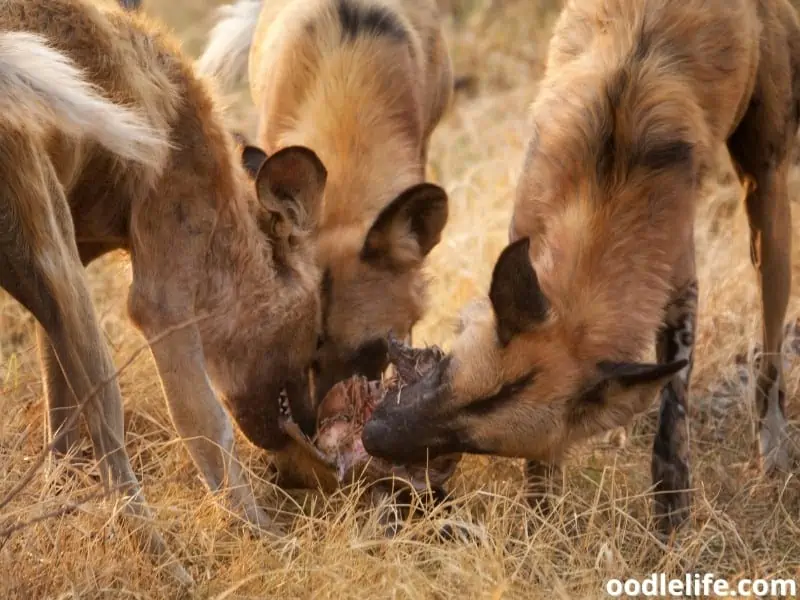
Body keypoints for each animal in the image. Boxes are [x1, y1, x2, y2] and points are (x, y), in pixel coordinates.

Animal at [0, 0, 330, 580]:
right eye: (315, 341)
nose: (313, 427)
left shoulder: (61, 283)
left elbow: (60, 434)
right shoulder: (160, 306)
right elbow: (209, 430)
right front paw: (270, 543)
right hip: (64, 278)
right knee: (114, 450)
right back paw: (170, 569)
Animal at [364, 0, 800, 536]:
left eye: (473, 441)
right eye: (446, 374)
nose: (372, 436)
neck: (603, 192)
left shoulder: (680, 290)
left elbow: (672, 417)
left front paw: (671, 512)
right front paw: (541, 514)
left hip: (768, 201)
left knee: (770, 348)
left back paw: (773, 445)